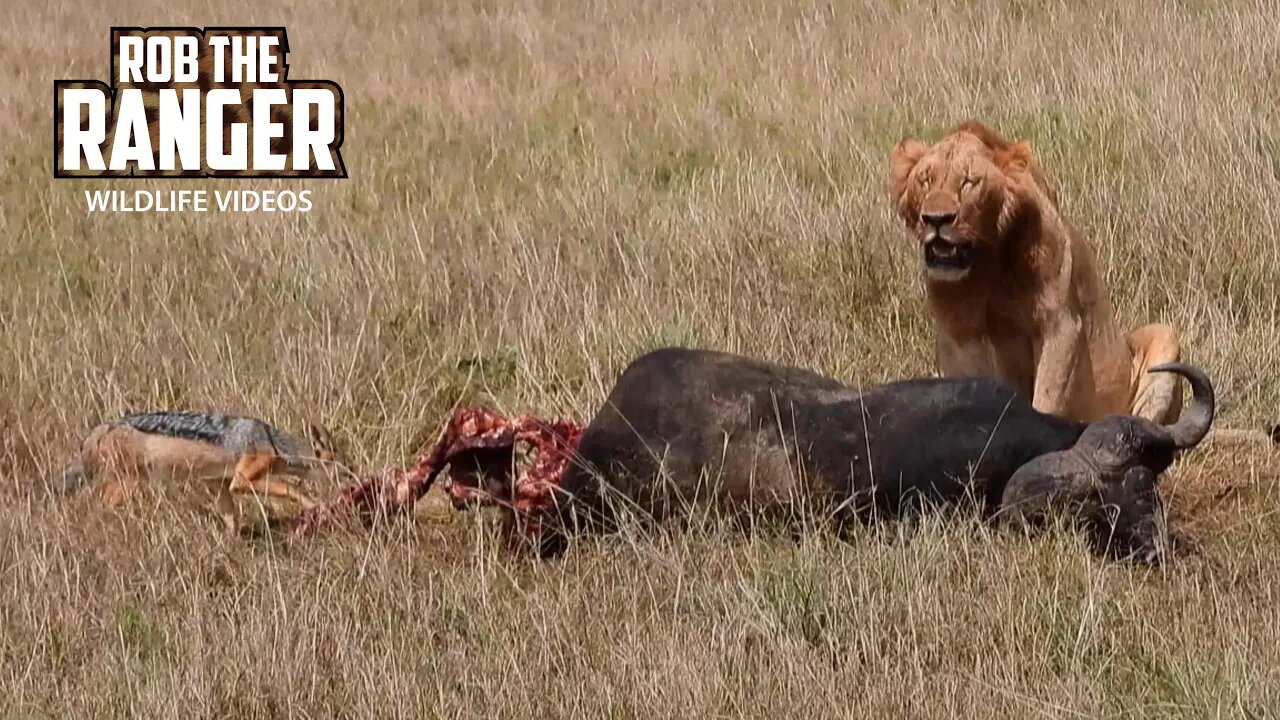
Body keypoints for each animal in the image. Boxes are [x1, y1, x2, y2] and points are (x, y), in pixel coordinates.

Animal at [890, 119, 1177, 422]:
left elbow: (1047, 399)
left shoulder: (1059, 326)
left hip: (1164, 337)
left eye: (968, 182)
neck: (985, 265)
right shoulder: (959, 336)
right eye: (925, 180)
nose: (935, 219)